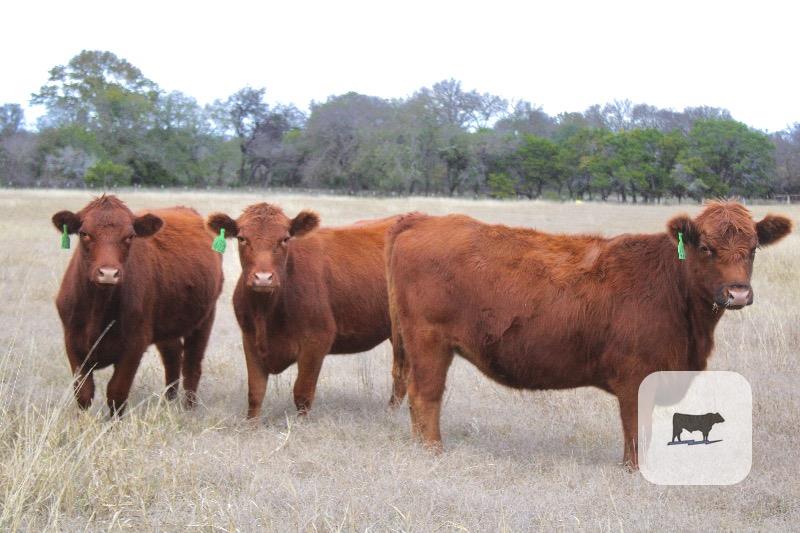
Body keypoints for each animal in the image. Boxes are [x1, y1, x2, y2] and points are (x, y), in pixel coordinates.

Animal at [52, 195, 223, 416]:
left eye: (130, 236)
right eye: (84, 233)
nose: (108, 273)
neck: (98, 309)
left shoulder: (135, 344)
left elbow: (117, 391)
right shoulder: (72, 341)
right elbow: (83, 392)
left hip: (204, 319)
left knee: (192, 365)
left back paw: (188, 409)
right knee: (172, 358)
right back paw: (168, 401)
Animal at [206, 204, 399, 418]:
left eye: (285, 238)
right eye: (242, 238)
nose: (263, 278)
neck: (266, 313)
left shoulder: (316, 341)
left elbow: (302, 393)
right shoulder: (250, 339)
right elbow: (255, 392)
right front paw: (251, 424)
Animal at [385, 201, 791, 468]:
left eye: (753, 248)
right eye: (706, 248)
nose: (738, 293)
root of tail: (421, 220)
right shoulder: (635, 378)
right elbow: (635, 430)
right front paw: (635, 471)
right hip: (429, 342)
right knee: (426, 396)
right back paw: (433, 451)